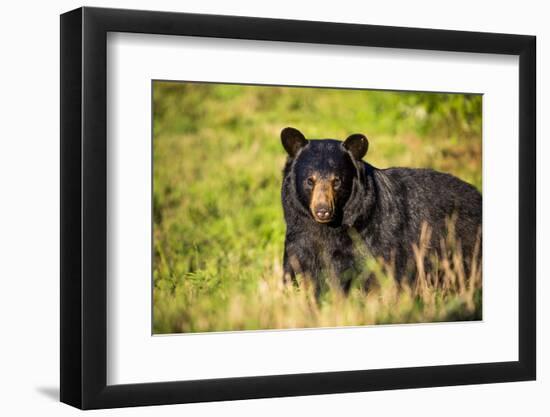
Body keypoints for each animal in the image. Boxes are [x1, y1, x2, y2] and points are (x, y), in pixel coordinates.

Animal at [280, 127, 484, 292]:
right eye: (309, 180)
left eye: (337, 181)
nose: (323, 210)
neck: (329, 227)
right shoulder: (299, 235)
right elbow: (295, 268)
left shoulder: (369, 238)